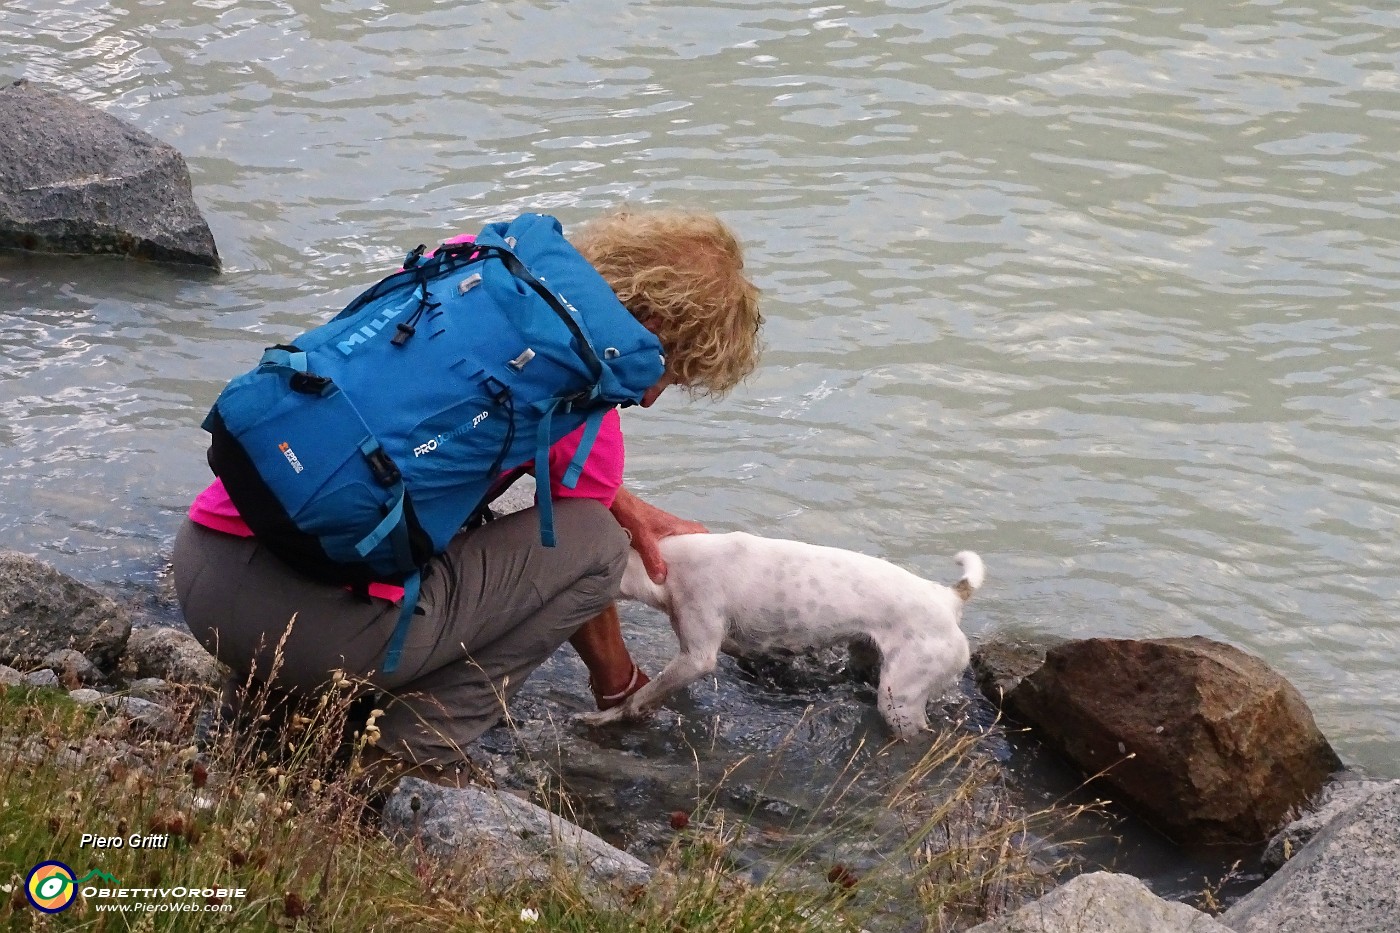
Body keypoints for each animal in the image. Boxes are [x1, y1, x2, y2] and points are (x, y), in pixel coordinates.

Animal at [574, 535, 980, 739]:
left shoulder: (697, 656)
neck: (665, 566)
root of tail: (949, 597)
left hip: (900, 702)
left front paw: (606, 717)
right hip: (868, 659)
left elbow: (636, 698)